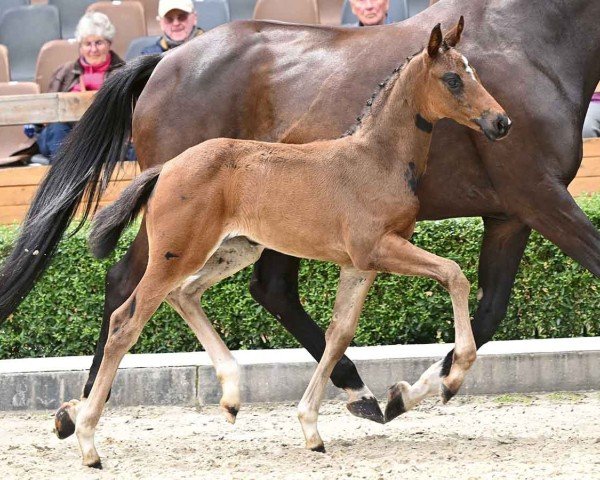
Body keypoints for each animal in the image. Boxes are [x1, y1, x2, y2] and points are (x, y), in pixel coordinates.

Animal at [81, 20, 510, 466]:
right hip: (177, 253)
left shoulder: (359, 265)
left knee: (183, 293)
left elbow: (339, 334)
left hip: (235, 248)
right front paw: (453, 377)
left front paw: (311, 426)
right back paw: (87, 440)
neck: (377, 158)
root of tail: (166, 168)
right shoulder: (377, 248)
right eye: (453, 79)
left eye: (474, 72)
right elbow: (454, 274)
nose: (501, 122)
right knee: (126, 321)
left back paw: (231, 396)